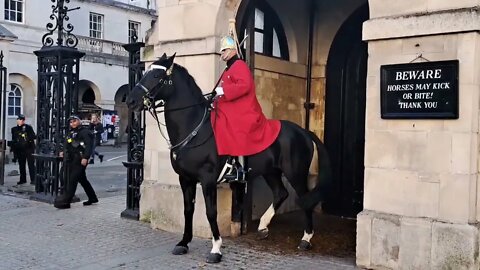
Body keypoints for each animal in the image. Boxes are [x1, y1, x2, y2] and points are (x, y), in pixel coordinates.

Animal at [125, 53, 332, 262]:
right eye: (147, 71)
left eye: (156, 76)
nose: (131, 100)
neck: (194, 129)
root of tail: (304, 132)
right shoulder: (185, 179)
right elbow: (188, 210)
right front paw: (183, 243)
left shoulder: (207, 179)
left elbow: (211, 212)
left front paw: (216, 248)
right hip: (271, 171)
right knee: (281, 193)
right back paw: (263, 227)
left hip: (295, 173)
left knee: (305, 198)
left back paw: (306, 238)